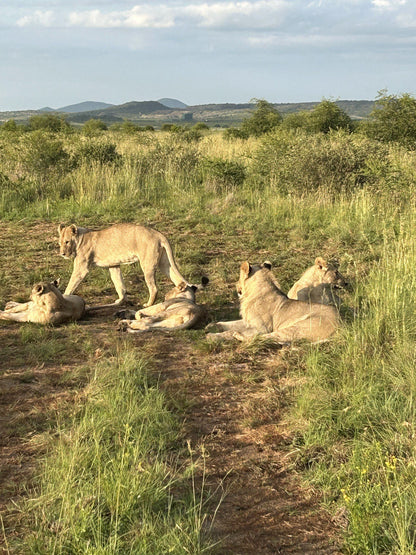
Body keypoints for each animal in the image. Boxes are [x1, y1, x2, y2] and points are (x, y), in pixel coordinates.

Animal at [57, 222, 190, 308]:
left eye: (67, 242)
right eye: (59, 243)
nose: (62, 253)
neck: (80, 238)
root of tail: (159, 234)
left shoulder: (82, 268)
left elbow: (71, 284)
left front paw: (65, 297)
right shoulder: (113, 265)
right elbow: (119, 284)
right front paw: (121, 300)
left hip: (147, 264)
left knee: (154, 288)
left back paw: (148, 304)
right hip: (165, 263)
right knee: (179, 280)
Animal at [206, 260, 340, 344]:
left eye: (239, 277)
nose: (236, 286)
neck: (253, 293)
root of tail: (341, 325)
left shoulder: (262, 328)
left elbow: (230, 330)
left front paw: (212, 336)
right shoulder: (248, 322)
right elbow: (229, 323)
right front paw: (211, 326)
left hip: (294, 328)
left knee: (264, 338)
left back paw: (239, 336)